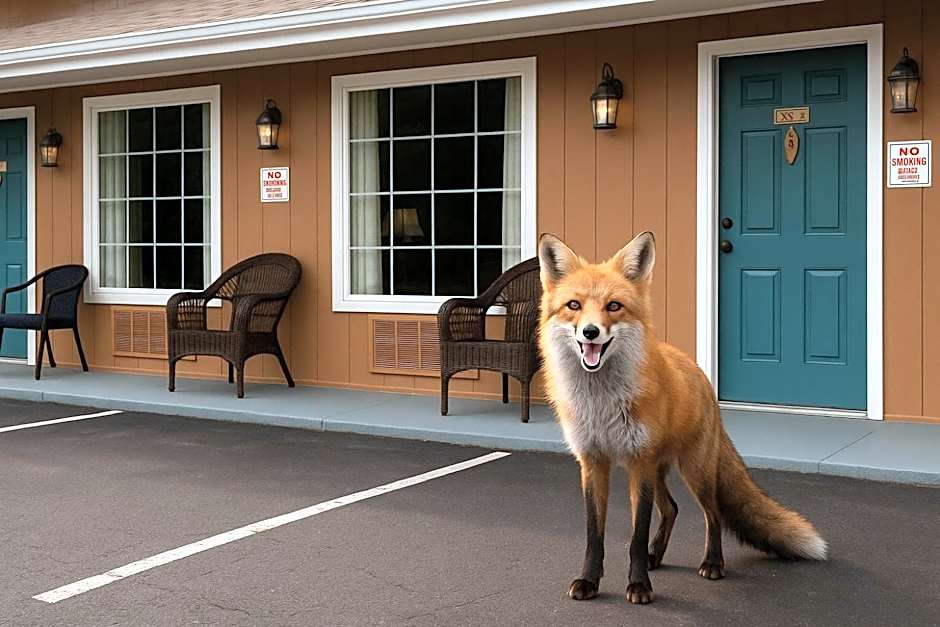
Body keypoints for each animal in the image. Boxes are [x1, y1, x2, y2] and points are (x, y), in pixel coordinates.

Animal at [537, 231, 827, 605]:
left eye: (613, 306)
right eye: (574, 305)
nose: (590, 332)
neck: (601, 404)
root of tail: (700, 372)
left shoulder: (639, 462)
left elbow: (636, 535)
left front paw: (639, 586)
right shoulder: (593, 462)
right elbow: (594, 535)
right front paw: (589, 580)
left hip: (693, 470)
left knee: (712, 513)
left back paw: (712, 563)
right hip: (658, 470)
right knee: (672, 508)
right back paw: (656, 556)